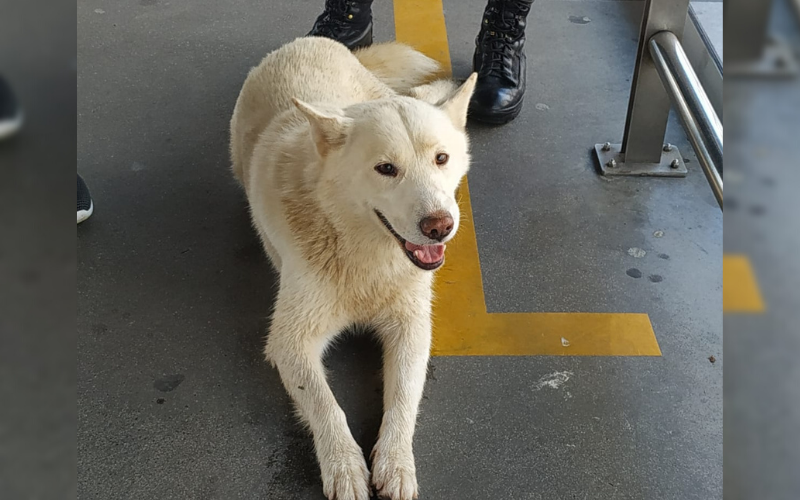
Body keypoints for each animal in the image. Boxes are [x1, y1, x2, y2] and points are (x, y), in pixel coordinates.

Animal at [230, 37, 476, 498]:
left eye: (441, 158)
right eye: (386, 169)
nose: (439, 226)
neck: (366, 255)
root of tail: (307, 41)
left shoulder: (411, 327)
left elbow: (403, 398)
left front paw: (396, 462)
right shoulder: (289, 342)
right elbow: (328, 406)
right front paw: (343, 466)